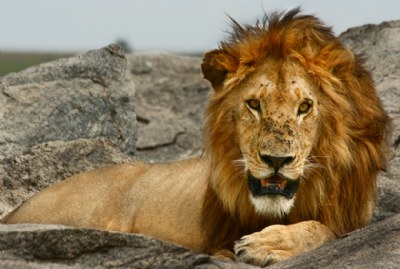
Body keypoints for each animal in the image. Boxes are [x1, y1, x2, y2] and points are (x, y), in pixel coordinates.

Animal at [0, 8, 388, 266]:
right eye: (254, 104)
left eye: (305, 107)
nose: (276, 161)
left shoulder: (352, 214)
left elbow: (324, 229)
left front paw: (268, 244)